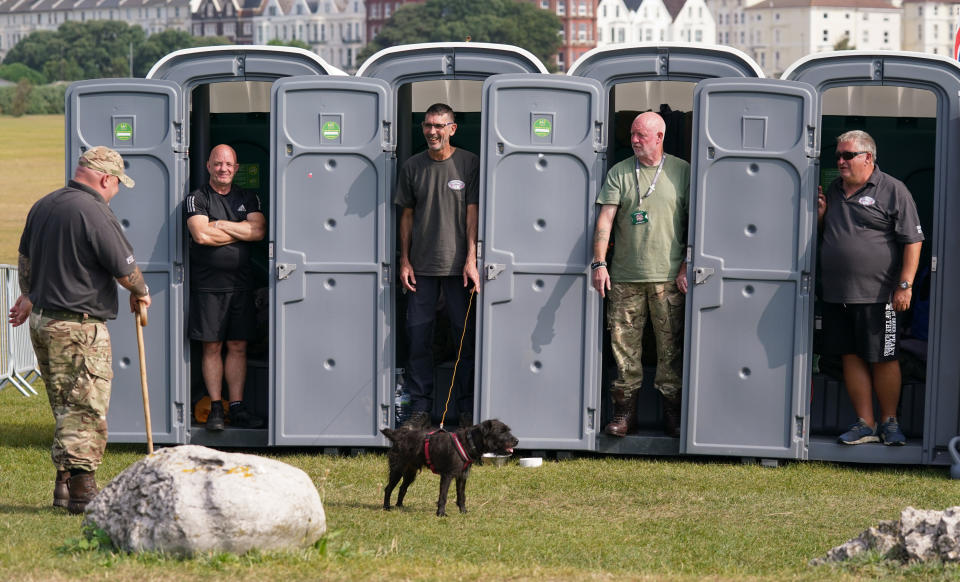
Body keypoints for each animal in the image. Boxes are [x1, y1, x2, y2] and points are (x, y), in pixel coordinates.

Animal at [380, 420, 520, 520]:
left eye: (508, 430)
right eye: (501, 431)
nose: (517, 440)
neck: (468, 443)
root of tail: (398, 436)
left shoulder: (462, 476)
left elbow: (461, 496)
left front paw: (463, 511)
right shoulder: (447, 475)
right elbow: (443, 496)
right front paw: (441, 513)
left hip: (410, 473)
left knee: (402, 488)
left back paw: (400, 506)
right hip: (397, 470)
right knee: (388, 488)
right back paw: (387, 507)